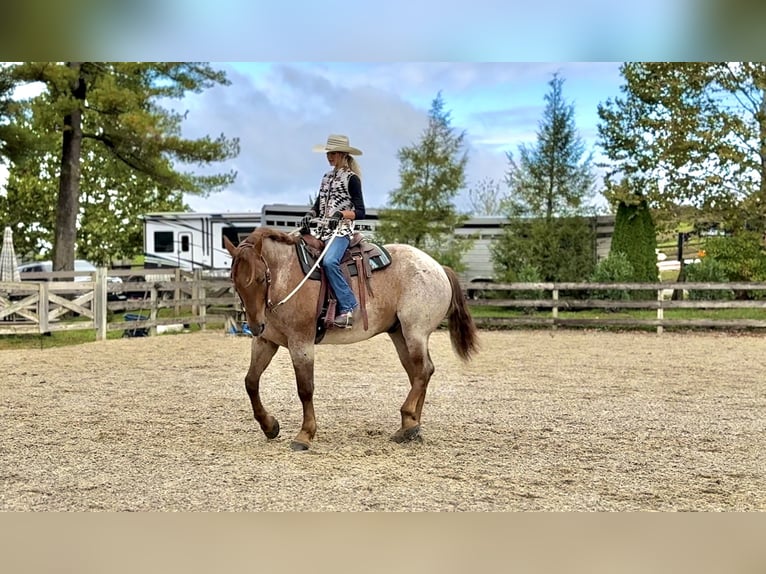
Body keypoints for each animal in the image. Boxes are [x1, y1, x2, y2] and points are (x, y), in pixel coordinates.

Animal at [224, 227, 480, 451]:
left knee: (424, 371)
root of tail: (438, 267)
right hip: (400, 335)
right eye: (234, 281)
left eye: (260, 278)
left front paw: (305, 434)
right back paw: (411, 426)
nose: (256, 326)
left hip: (415, 332)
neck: (288, 276)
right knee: (418, 373)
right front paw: (270, 426)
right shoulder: (265, 342)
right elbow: (251, 382)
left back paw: (408, 419)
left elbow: (305, 389)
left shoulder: (301, 343)